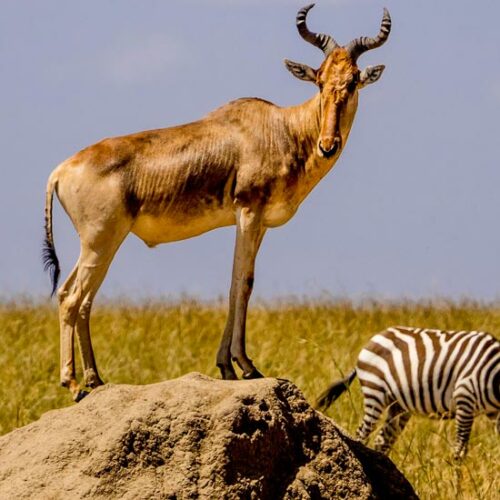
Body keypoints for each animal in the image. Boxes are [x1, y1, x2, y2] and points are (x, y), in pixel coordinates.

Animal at [318, 326, 498, 458]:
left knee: (383, 440)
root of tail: (377, 336)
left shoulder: (495, 412)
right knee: (362, 433)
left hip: (398, 405)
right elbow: (459, 452)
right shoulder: (465, 399)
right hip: (375, 391)